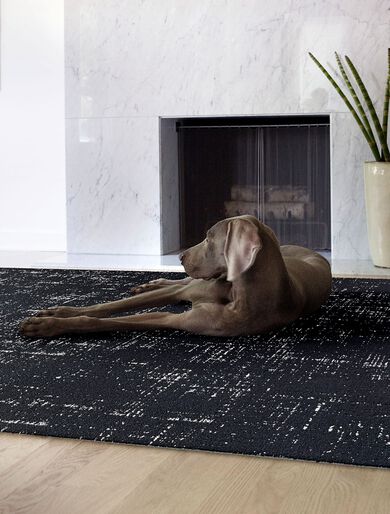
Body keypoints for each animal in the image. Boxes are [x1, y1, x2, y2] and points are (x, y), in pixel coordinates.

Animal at [17, 214, 330, 338]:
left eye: (208, 238)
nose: (180, 257)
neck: (236, 294)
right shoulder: (192, 292)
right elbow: (108, 306)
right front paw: (57, 311)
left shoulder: (177, 320)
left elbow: (99, 320)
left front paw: (50, 324)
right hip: (193, 284)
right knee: (179, 284)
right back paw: (152, 282)